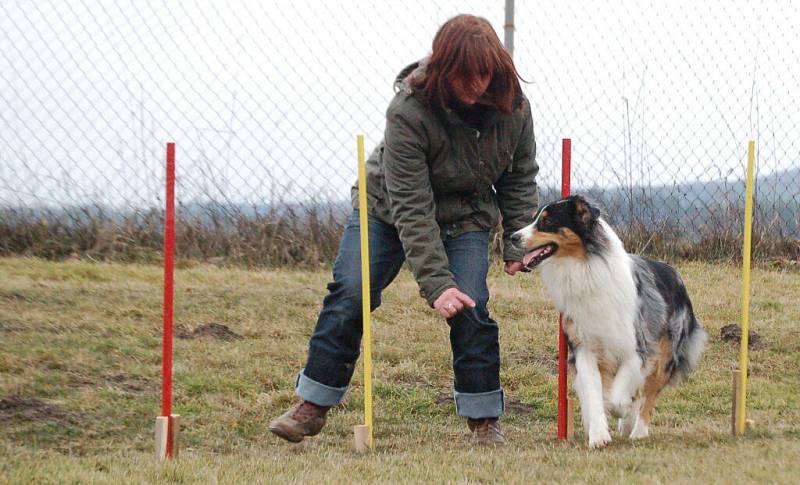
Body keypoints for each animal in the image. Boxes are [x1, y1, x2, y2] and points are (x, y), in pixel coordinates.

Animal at [512, 195, 708, 448]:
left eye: (547, 221)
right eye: (535, 218)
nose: (512, 237)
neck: (583, 267)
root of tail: (673, 271)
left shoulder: (637, 348)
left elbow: (617, 397)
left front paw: (620, 411)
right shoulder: (585, 347)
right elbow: (594, 393)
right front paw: (597, 435)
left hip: (666, 354)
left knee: (649, 395)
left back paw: (637, 430)